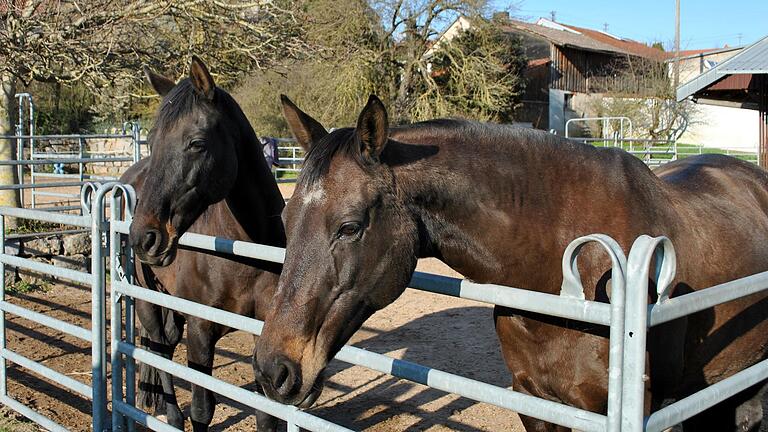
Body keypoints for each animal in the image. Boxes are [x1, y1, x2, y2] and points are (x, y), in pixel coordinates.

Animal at [121, 56, 284, 428]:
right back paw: (169, 414)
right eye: (152, 140)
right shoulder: (200, 331)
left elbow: (265, 414)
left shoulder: (262, 332)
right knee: (158, 347)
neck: (245, 256)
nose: (144, 237)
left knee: (164, 343)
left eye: (196, 143)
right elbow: (202, 409)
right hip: (147, 298)